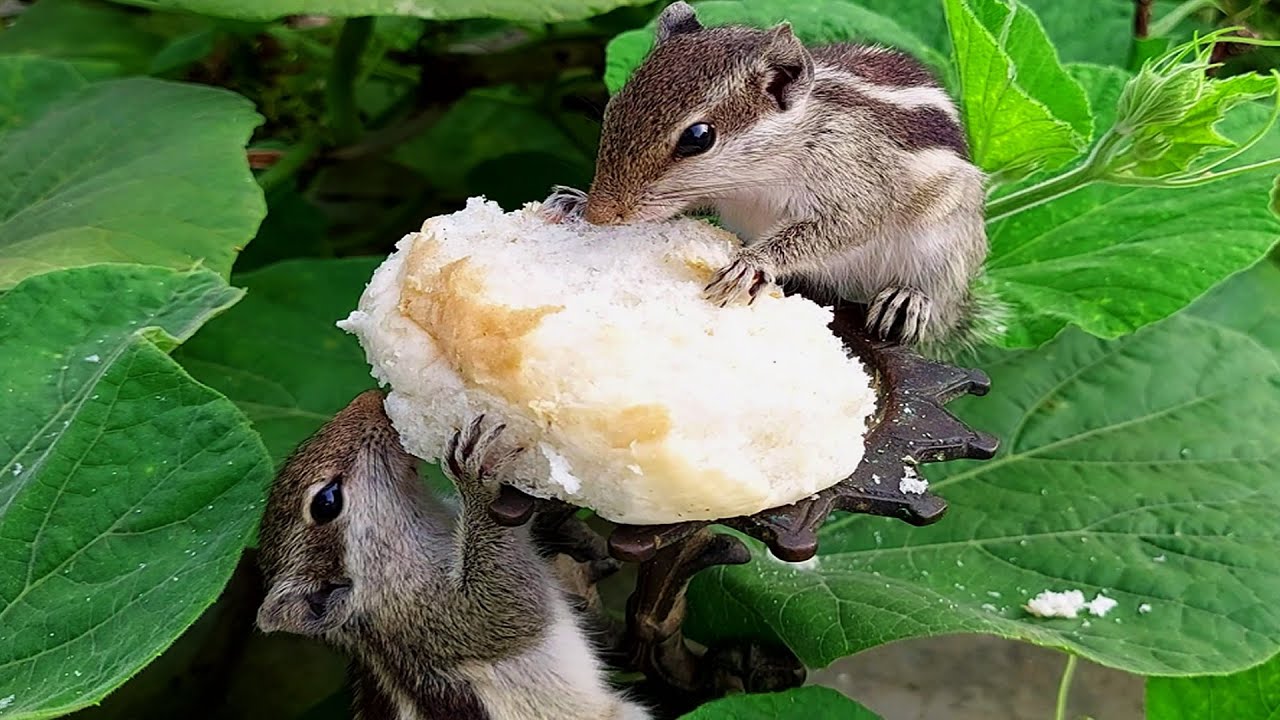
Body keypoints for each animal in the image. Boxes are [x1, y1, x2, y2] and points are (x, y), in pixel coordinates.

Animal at [539, 1, 1003, 353]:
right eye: (614, 105)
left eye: (698, 137)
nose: (600, 215)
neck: (757, 177)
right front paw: (574, 200)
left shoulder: (858, 183)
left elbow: (841, 227)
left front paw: (752, 264)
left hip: (944, 246)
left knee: (940, 305)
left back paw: (911, 300)